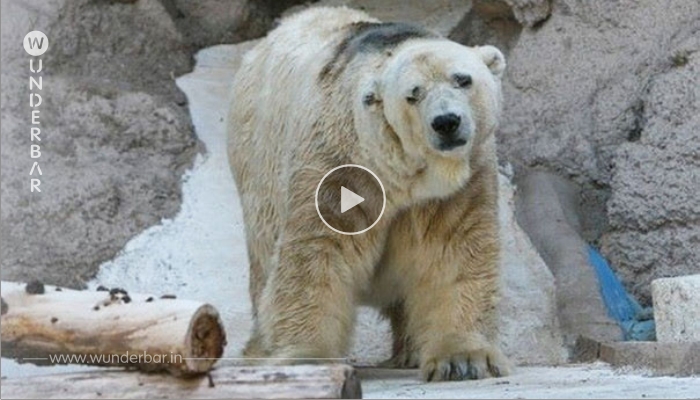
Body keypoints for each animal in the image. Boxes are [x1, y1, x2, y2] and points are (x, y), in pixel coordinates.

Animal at [228, 7, 508, 382]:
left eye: (463, 79)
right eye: (413, 94)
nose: (447, 121)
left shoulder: (459, 183)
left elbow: (454, 249)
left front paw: (462, 359)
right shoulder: (339, 163)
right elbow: (318, 251)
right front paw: (307, 356)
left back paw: (410, 350)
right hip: (258, 166)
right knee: (263, 260)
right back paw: (259, 349)